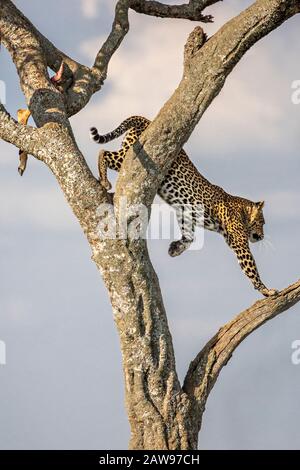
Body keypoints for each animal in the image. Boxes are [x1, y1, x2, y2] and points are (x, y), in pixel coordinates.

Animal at [89, 116, 278, 298]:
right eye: (261, 222)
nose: (261, 236)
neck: (242, 211)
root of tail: (145, 119)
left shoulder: (185, 214)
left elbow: (189, 237)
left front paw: (175, 249)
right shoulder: (239, 243)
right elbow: (251, 269)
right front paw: (267, 290)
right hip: (132, 157)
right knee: (104, 153)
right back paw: (105, 181)